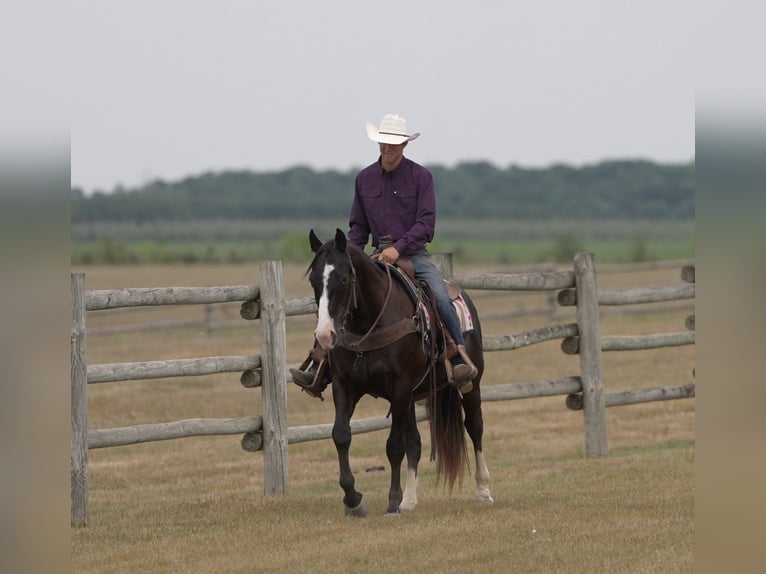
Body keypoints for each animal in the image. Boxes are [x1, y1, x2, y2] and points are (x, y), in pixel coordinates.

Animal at [303, 228, 493, 516]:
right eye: (314, 281)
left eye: (344, 279)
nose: (325, 335)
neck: (371, 321)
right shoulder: (344, 387)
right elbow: (341, 435)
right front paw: (353, 499)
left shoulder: (399, 389)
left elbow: (394, 446)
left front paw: (393, 500)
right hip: (413, 398)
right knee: (415, 441)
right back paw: (411, 499)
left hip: (471, 382)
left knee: (474, 426)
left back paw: (483, 490)